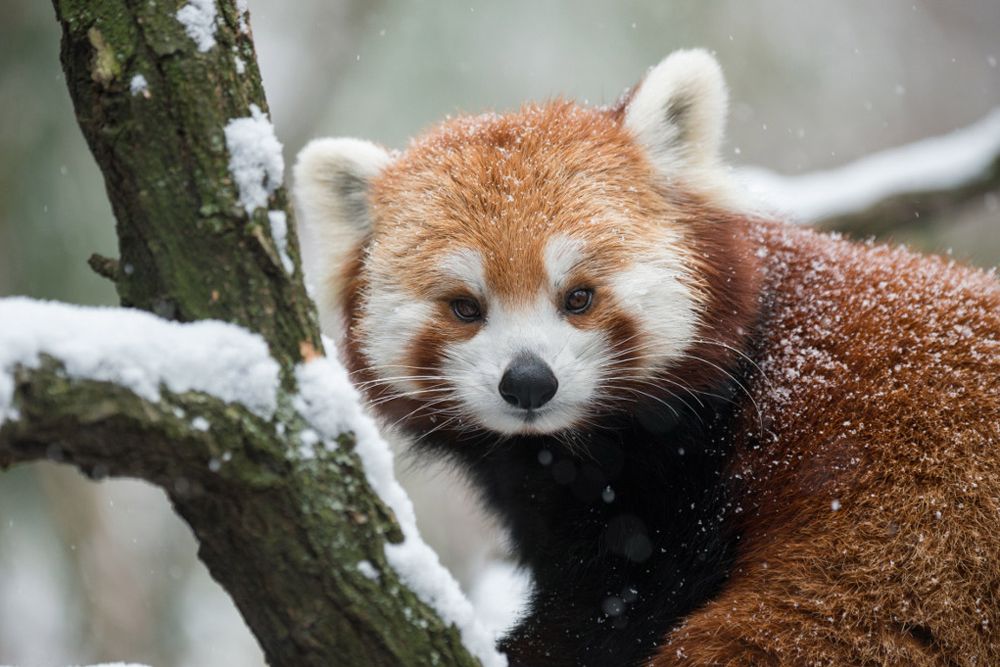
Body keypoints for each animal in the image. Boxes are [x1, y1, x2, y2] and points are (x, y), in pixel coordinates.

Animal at [292, 49, 1000, 664]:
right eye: (466, 307)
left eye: (578, 296)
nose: (528, 382)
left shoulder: (683, 493)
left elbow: (616, 604)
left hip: (911, 549)